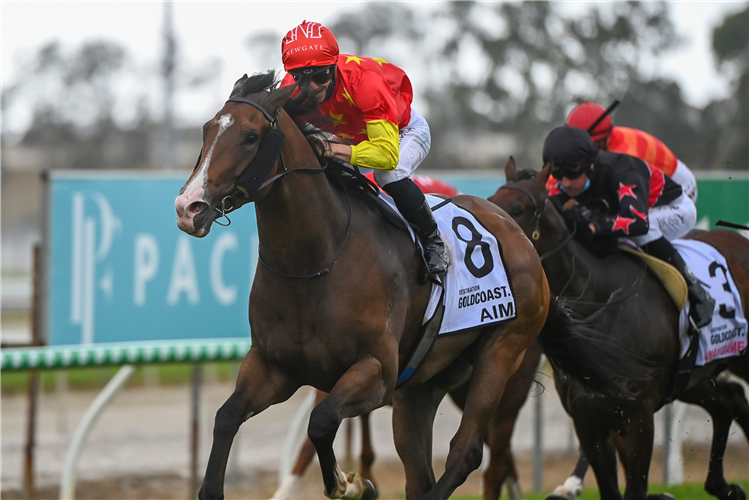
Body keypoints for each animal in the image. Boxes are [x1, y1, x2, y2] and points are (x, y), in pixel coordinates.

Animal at [175, 73, 644, 500]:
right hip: (422, 386)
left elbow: (321, 422)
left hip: (502, 353)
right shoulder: (274, 367)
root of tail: (520, 238)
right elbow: (226, 417)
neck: (316, 261)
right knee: (421, 472)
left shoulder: (376, 373)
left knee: (468, 453)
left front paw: (351, 483)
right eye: (206, 130)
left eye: (251, 136)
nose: (188, 207)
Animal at [488, 159, 748, 500]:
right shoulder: (588, 422)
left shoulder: (637, 419)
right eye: (490, 203)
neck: (599, 301)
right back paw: (723, 486)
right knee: (730, 402)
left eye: (518, 209)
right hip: (694, 375)